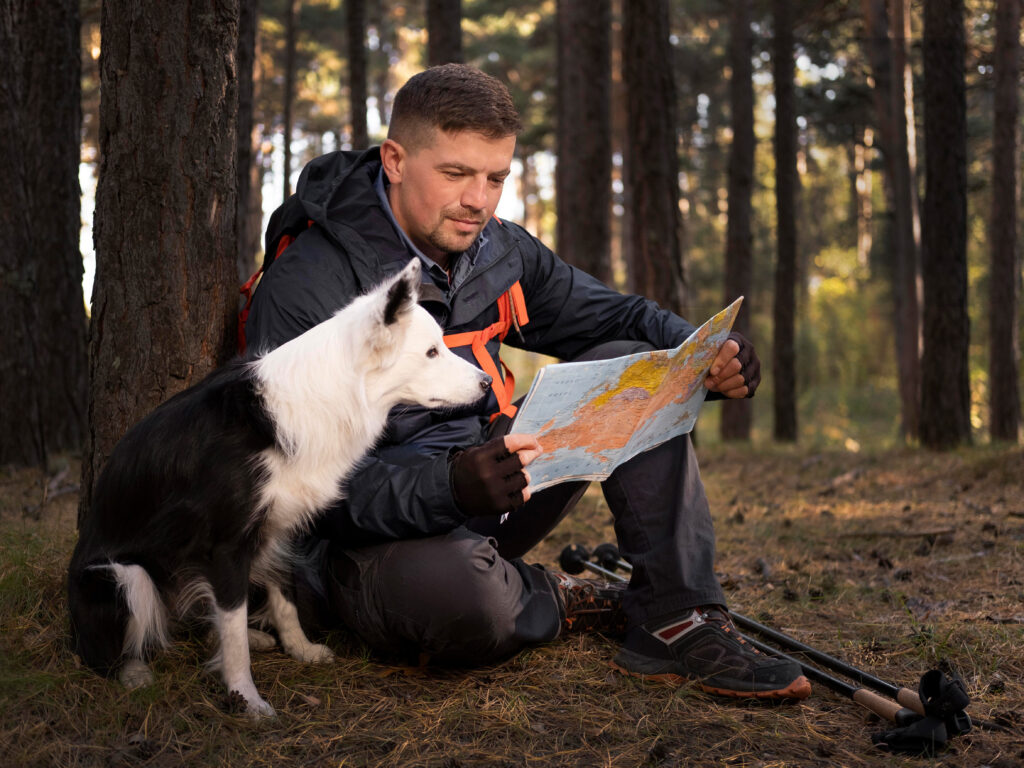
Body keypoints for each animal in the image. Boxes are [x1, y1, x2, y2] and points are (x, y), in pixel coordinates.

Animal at [68, 262, 491, 720]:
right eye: (432, 352)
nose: (487, 383)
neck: (329, 391)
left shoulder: (279, 526)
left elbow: (282, 592)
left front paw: (300, 648)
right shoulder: (227, 545)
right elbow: (234, 626)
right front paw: (245, 696)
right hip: (120, 576)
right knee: (102, 648)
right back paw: (133, 672)